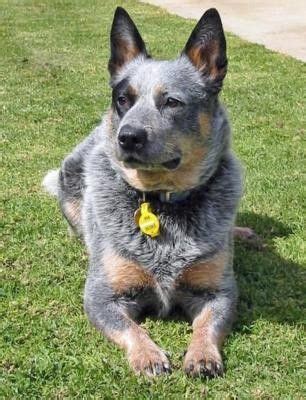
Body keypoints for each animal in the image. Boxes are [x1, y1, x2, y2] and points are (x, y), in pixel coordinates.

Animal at [41, 8, 255, 378]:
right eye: (123, 99)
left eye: (171, 102)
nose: (127, 137)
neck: (160, 202)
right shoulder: (102, 295)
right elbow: (131, 328)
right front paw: (148, 356)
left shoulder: (219, 291)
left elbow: (208, 324)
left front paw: (202, 354)